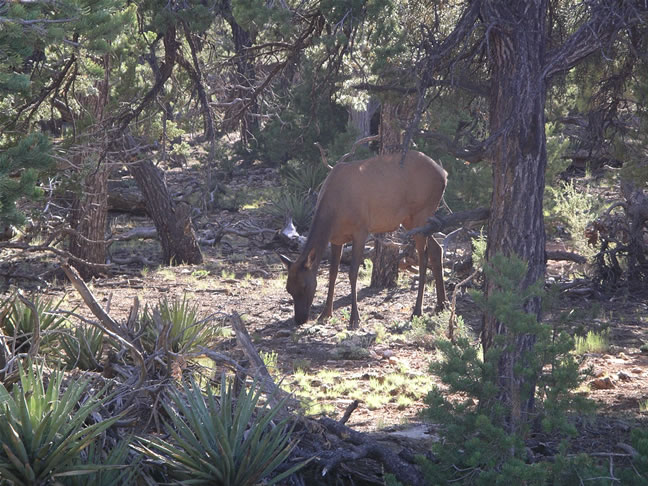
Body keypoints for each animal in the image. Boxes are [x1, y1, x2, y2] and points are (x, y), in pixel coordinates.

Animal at [278, 150, 446, 328]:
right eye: (288, 289)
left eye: (304, 286)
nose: (300, 319)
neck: (333, 211)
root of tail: (444, 174)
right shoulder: (336, 238)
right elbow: (333, 273)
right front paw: (325, 314)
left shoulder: (361, 230)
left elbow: (353, 273)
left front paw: (354, 319)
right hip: (411, 220)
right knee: (437, 249)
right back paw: (441, 304)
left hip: (422, 212)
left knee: (423, 257)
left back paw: (417, 311)